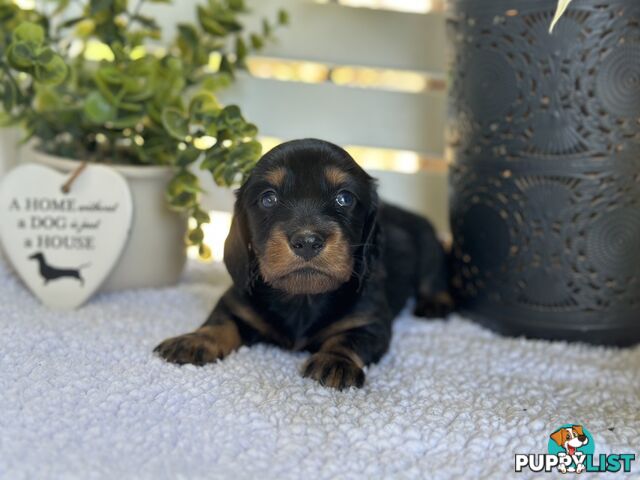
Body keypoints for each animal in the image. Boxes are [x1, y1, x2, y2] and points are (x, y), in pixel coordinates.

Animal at [155, 138, 452, 390]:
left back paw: (435, 303)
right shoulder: (236, 303)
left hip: (429, 246)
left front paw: (335, 361)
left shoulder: (370, 321)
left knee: (434, 277)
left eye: (344, 198)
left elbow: (348, 338)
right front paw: (194, 340)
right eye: (268, 198)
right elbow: (219, 322)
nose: (307, 241)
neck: (303, 298)